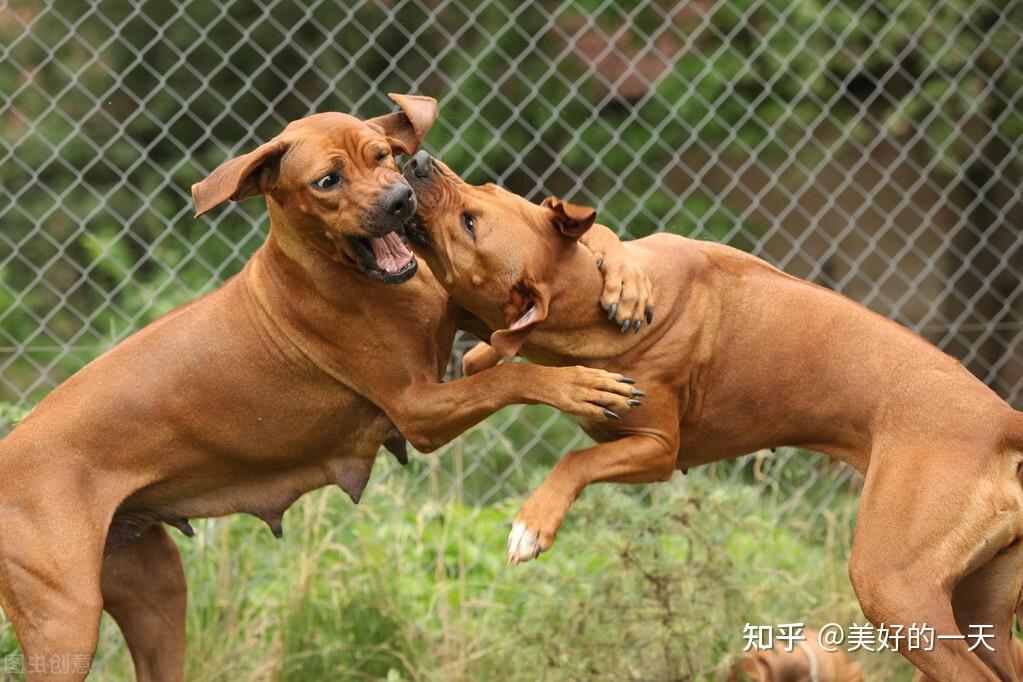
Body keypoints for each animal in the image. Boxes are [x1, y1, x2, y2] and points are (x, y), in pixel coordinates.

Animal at [401, 153, 1023, 682]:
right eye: (483, 191)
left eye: (472, 220)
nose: (418, 160)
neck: (588, 310)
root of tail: (1001, 422)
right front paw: (491, 355)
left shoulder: (658, 450)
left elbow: (575, 459)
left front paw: (531, 526)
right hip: (980, 605)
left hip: (894, 586)